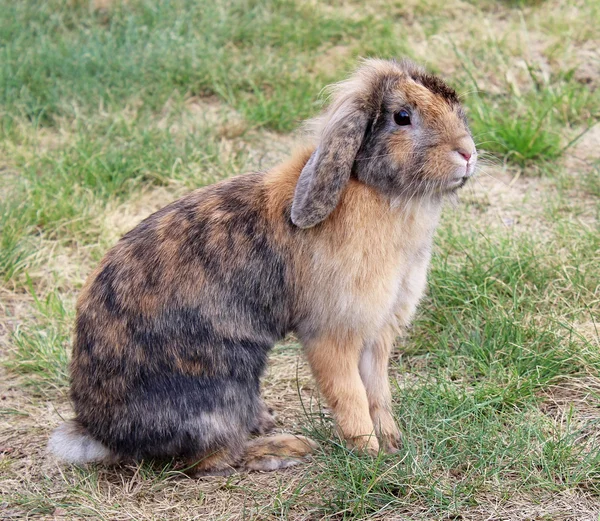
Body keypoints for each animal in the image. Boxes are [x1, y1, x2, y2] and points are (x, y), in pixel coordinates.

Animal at [47, 59, 476, 474]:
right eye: (402, 116)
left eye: (453, 104)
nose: (468, 152)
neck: (377, 192)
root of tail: (102, 433)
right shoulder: (332, 334)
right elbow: (350, 395)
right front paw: (369, 453)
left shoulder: (378, 333)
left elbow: (378, 392)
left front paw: (391, 443)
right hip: (222, 388)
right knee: (211, 461)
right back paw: (286, 448)